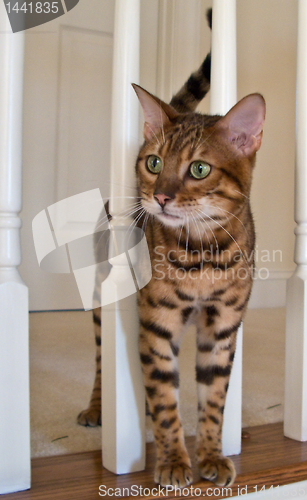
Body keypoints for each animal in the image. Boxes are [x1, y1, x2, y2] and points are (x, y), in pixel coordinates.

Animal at [78, 33, 266, 486]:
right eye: (154, 162)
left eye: (199, 169)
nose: (160, 196)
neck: (201, 255)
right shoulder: (157, 323)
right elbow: (166, 398)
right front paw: (175, 461)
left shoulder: (222, 326)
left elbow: (213, 399)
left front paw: (211, 455)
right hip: (102, 300)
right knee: (102, 361)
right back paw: (97, 407)